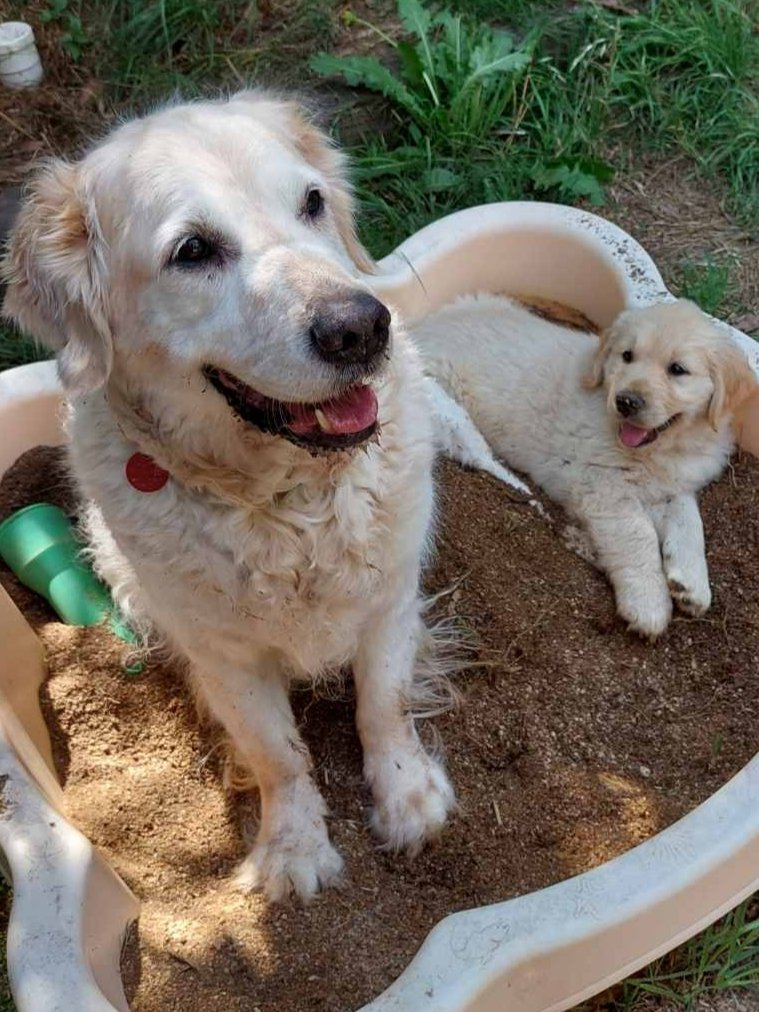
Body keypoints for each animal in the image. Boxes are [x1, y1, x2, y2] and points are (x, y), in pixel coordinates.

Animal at [1, 91, 518, 902]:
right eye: (192, 252)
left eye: (311, 202)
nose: (360, 328)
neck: (288, 497)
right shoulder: (223, 654)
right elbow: (277, 752)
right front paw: (294, 848)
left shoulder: (389, 600)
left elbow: (384, 705)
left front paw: (408, 799)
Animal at [412, 295, 756, 635]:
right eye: (627, 356)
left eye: (677, 369)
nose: (625, 401)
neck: (665, 447)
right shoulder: (602, 485)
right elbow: (637, 533)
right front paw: (648, 603)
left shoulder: (670, 484)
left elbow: (689, 519)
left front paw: (691, 584)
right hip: (453, 415)